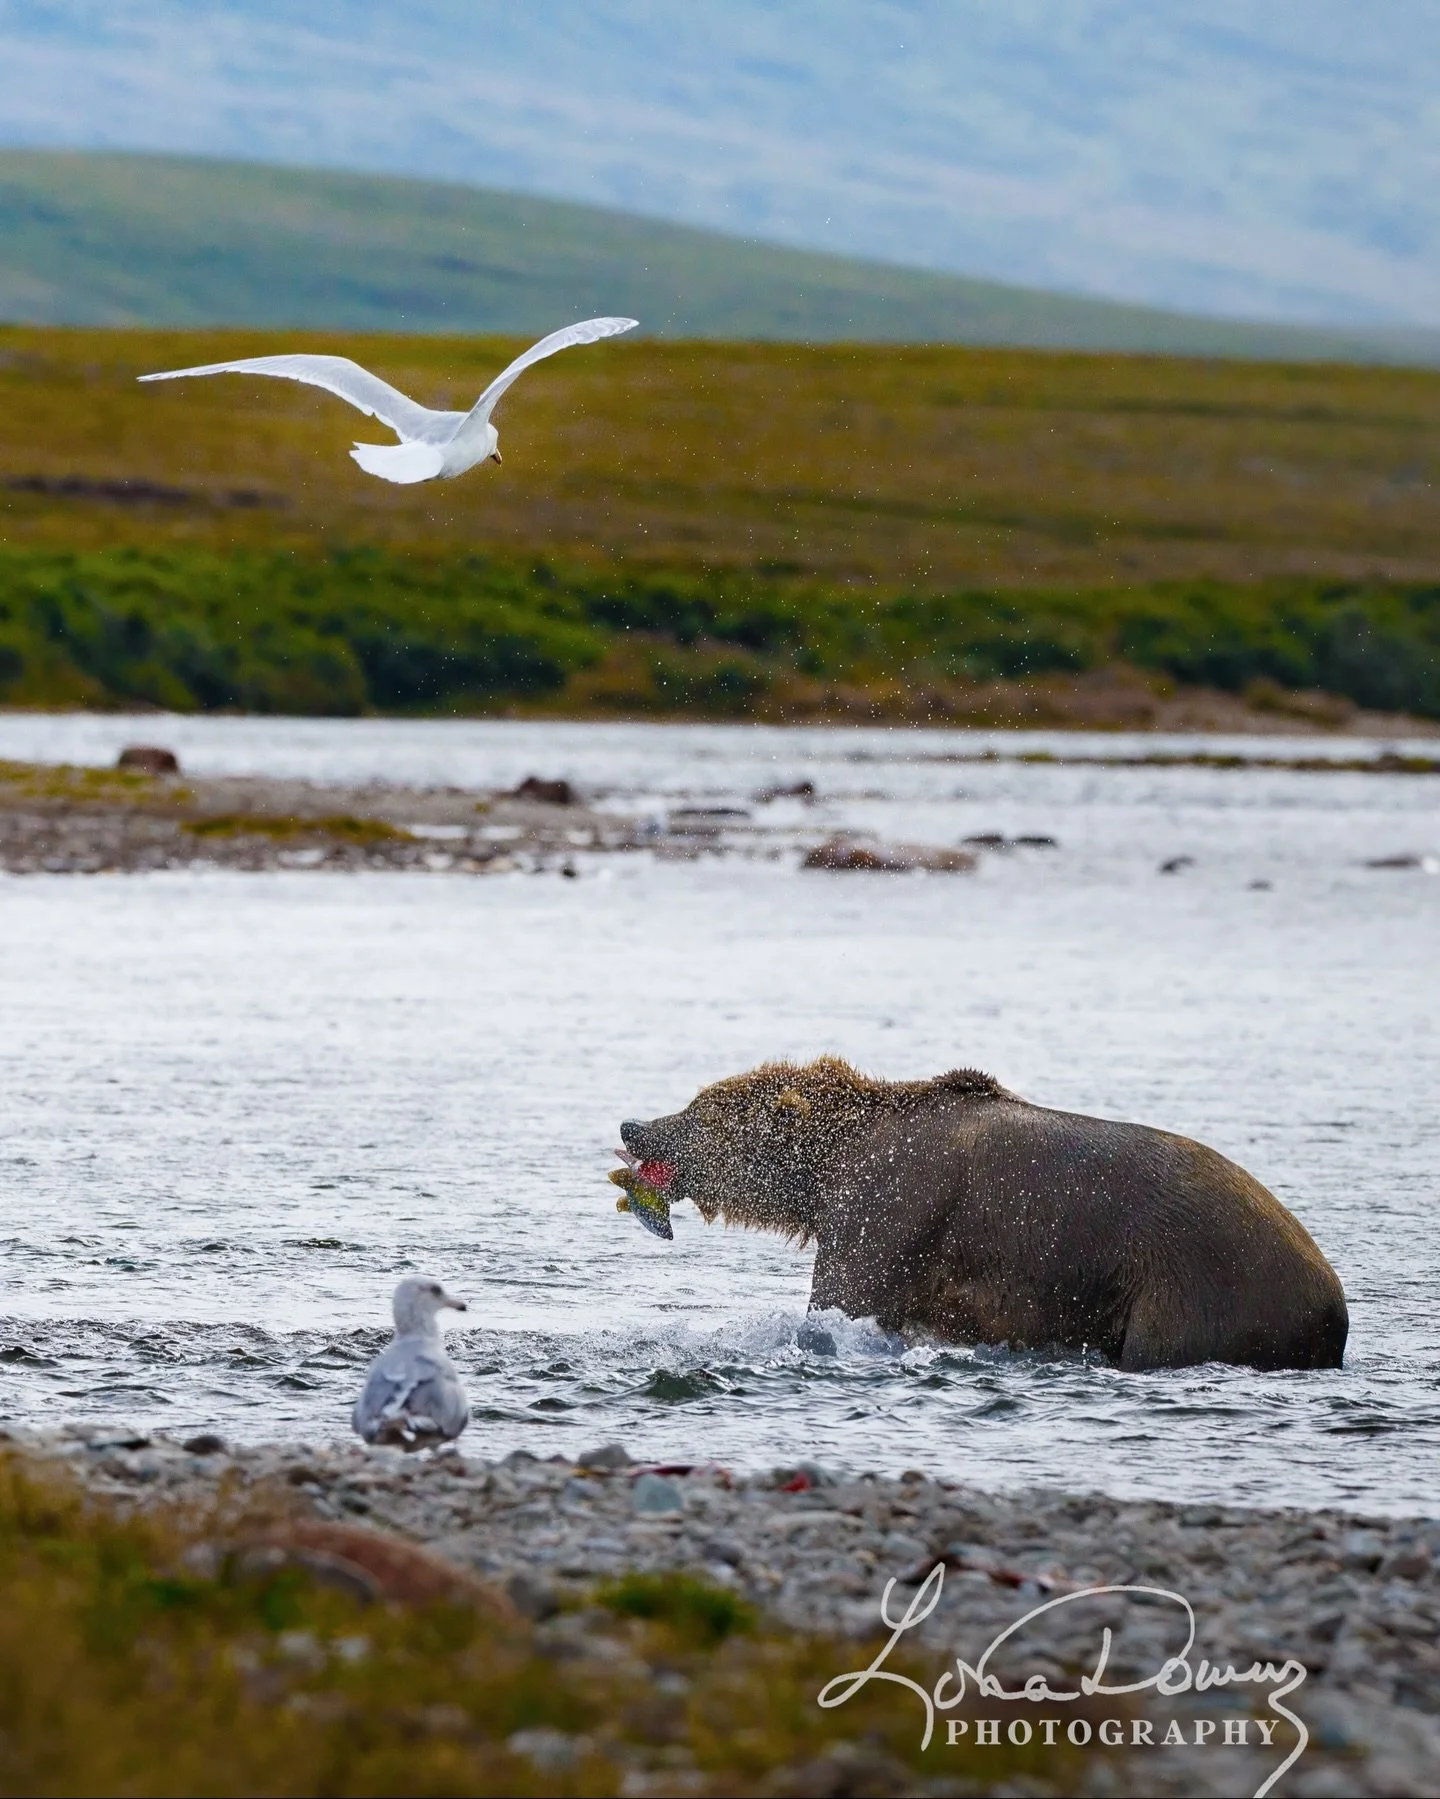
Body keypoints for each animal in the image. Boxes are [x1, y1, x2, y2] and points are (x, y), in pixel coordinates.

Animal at [617, 1057, 1348, 1372]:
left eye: (700, 1108)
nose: (634, 1125)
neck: (831, 1169)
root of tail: (1332, 1300)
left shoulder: (891, 1208)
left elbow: (842, 1303)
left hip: (1196, 1288)